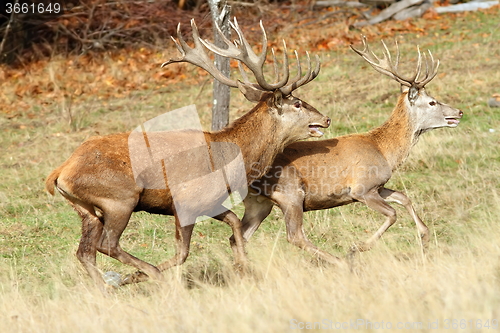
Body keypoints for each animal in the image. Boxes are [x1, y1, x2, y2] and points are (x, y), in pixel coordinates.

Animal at [45, 18, 330, 290]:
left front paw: (243, 266)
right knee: (106, 244)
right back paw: (146, 274)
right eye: (298, 103)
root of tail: (60, 173)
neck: (231, 160)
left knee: (85, 252)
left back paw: (105, 289)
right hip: (119, 199)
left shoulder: (210, 202)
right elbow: (183, 252)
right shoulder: (186, 201)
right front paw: (134, 276)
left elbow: (235, 223)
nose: (326, 119)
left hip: (85, 208)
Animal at [232, 36, 462, 264]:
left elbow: (404, 197)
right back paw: (340, 262)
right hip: (290, 193)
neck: (383, 150)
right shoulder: (362, 187)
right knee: (294, 235)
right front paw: (356, 247)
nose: (459, 111)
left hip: (259, 203)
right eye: (432, 102)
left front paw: (425, 236)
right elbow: (392, 213)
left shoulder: (378, 186)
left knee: (238, 237)